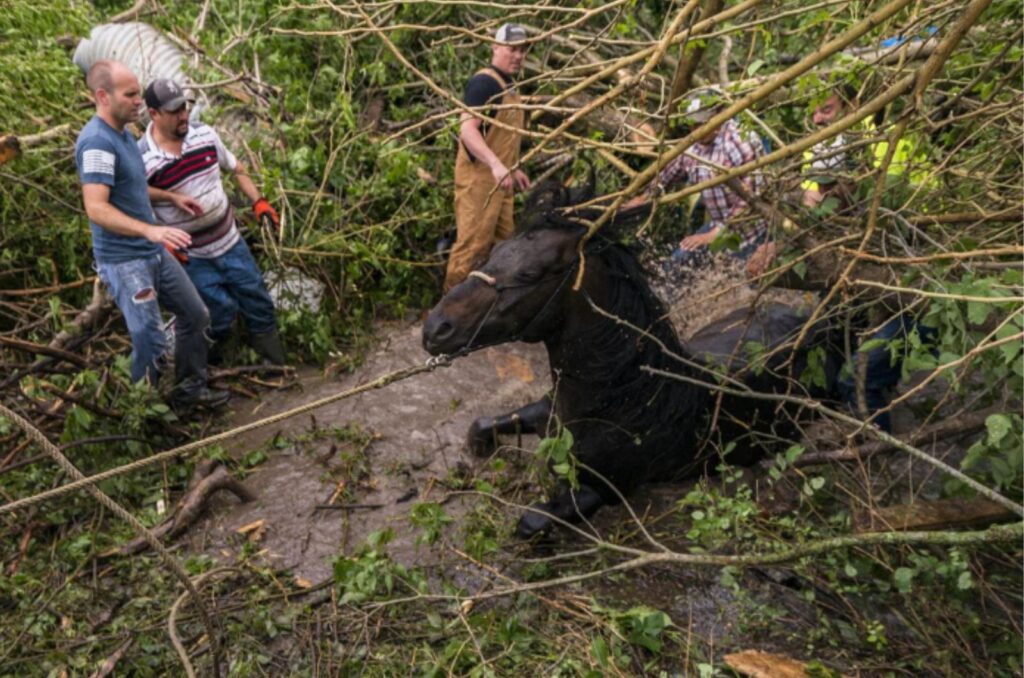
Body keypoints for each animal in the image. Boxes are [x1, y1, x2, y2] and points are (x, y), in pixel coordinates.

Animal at [419, 179, 835, 536]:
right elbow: (482, 424)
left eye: (530, 272)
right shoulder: (542, 410)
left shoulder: (605, 490)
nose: (436, 328)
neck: (627, 398)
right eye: (495, 252)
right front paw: (479, 452)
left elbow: (532, 522)